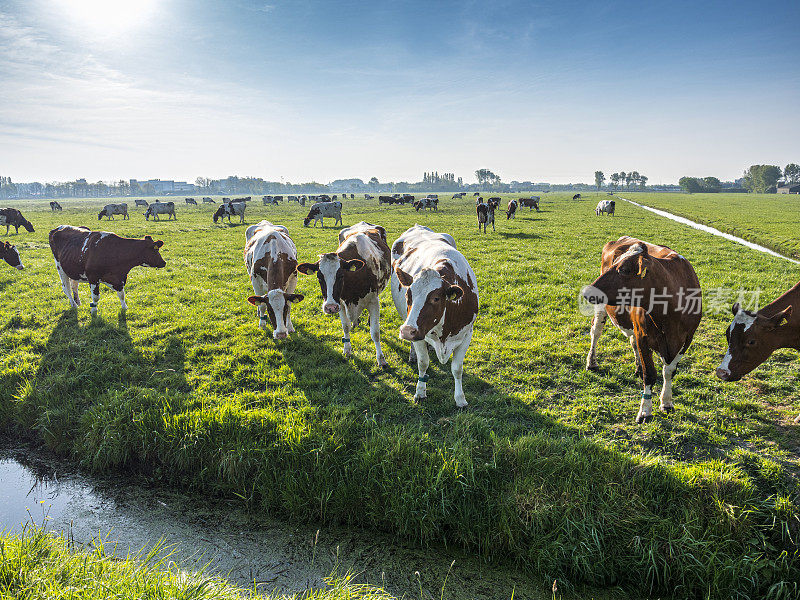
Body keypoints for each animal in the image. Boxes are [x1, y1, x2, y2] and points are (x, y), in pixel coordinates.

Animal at [296, 220, 390, 366]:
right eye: (319, 277)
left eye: (341, 275)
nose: (330, 307)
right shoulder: (339, 302)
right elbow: (345, 327)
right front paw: (347, 350)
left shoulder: (373, 301)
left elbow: (375, 332)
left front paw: (381, 359)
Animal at [390, 225, 478, 408]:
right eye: (408, 295)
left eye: (436, 298)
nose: (407, 331)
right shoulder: (419, 334)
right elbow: (423, 363)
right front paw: (420, 392)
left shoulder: (467, 335)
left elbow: (457, 369)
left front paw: (460, 399)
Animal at [580, 237, 700, 424]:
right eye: (615, 263)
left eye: (624, 269)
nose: (587, 290)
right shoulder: (644, 336)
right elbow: (649, 374)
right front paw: (645, 411)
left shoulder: (687, 339)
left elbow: (669, 371)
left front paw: (666, 402)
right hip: (602, 308)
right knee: (596, 332)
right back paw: (591, 362)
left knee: (631, 342)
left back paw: (637, 366)